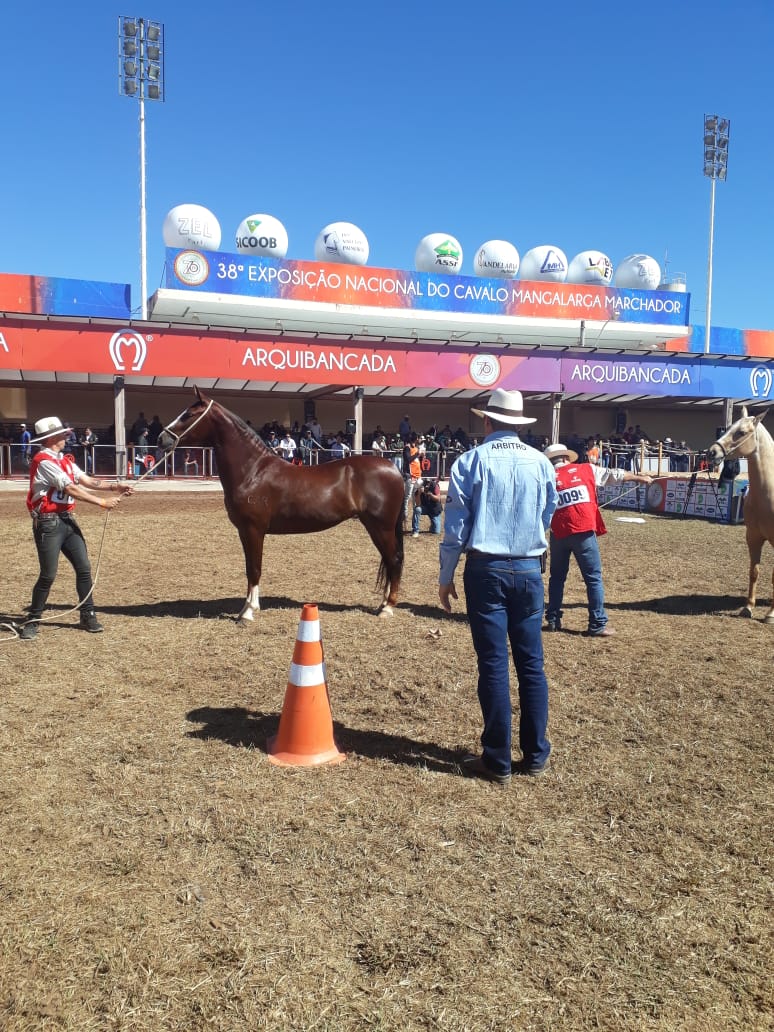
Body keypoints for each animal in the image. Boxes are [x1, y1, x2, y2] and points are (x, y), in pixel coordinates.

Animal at [160, 390, 408, 619]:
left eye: (189, 414)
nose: (163, 439)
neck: (253, 471)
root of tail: (393, 468)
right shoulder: (244, 531)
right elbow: (249, 568)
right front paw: (248, 606)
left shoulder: (253, 530)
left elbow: (255, 568)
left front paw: (248, 612)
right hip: (375, 526)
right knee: (389, 560)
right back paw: (383, 604)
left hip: (381, 526)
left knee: (394, 559)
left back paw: (387, 608)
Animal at [710, 408, 774, 619]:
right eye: (729, 428)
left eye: (742, 432)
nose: (712, 452)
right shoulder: (753, 538)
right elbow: (754, 572)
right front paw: (748, 607)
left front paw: (770, 614)